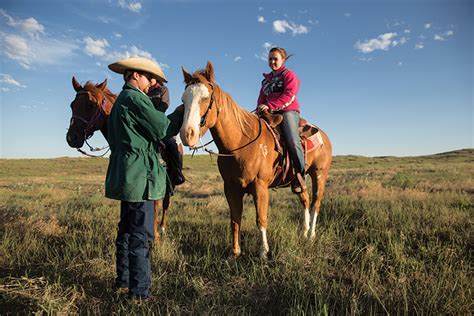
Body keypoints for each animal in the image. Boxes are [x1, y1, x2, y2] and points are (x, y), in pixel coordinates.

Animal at [65, 78, 180, 241]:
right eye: (72, 105)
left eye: (91, 104)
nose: (72, 138)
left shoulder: (157, 181)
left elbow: (156, 207)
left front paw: (156, 237)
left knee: (165, 203)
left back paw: (162, 228)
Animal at [180, 62, 332, 260]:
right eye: (183, 100)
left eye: (206, 98)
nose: (187, 134)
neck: (241, 143)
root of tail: (324, 136)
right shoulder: (231, 188)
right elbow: (235, 219)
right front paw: (235, 252)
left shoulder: (260, 187)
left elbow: (261, 219)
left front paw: (263, 252)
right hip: (298, 179)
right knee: (305, 200)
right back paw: (304, 232)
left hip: (319, 174)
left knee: (316, 203)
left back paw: (312, 235)